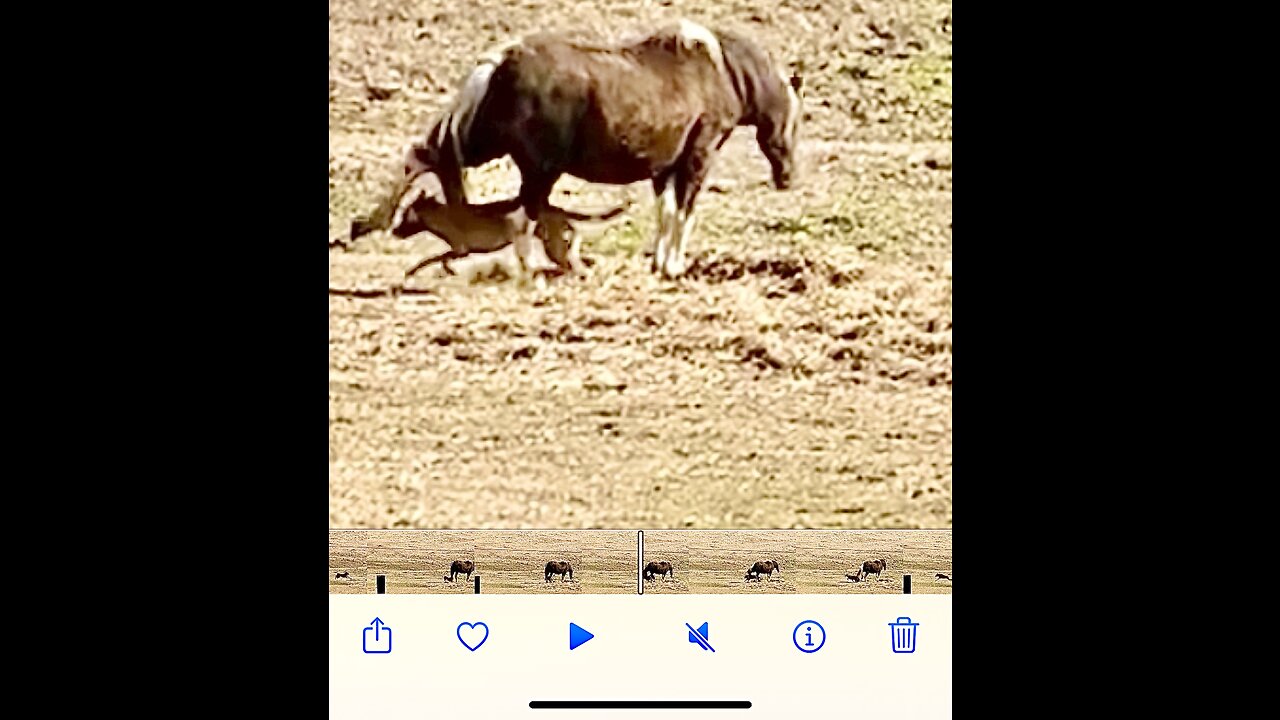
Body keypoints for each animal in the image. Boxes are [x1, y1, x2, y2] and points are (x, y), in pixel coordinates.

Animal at [394, 19, 803, 278]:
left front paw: (659, 263)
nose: (787, 177)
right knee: (523, 214)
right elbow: (684, 212)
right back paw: (527, 270)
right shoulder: (697, 158)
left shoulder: (663, 168)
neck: (719, 70)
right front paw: (674, 266)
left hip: (490, 147)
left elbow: (666, 211)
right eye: (796, 120)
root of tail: (502, 61)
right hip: (536, 168)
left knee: (426, 156)